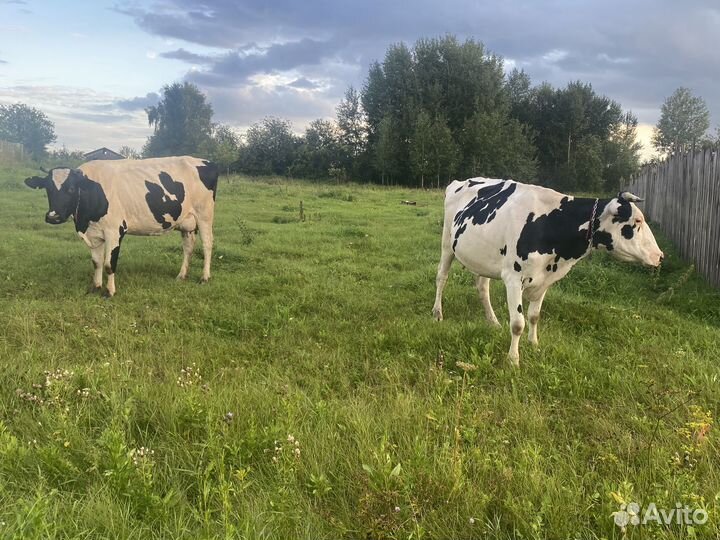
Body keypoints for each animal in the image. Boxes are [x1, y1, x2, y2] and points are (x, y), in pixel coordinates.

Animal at [24, 156, 218, 297]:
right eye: (48, 188)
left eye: (71, 189)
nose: (53, 216)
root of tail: (205, 161)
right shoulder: (93, 233)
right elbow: (96, 262)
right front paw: (95, 287)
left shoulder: (114, 231)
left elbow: (109, 264)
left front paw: (109, 291)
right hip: (187, 222)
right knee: (188, 247)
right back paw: (181, 275)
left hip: (205, 215)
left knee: (207, 244)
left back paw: (205, 277)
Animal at [432, 178, 664, 366]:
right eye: (637, 221)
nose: (660, 256)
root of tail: (460, 181)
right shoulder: (513, 278)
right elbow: (518, 323)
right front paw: (513, 360)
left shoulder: (545, 279)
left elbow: (534, 316)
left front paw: (534, 344)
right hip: (446, 243)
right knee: (441, 277)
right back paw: (437, 313)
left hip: (482, 257)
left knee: (482, 287)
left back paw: (493, 321)